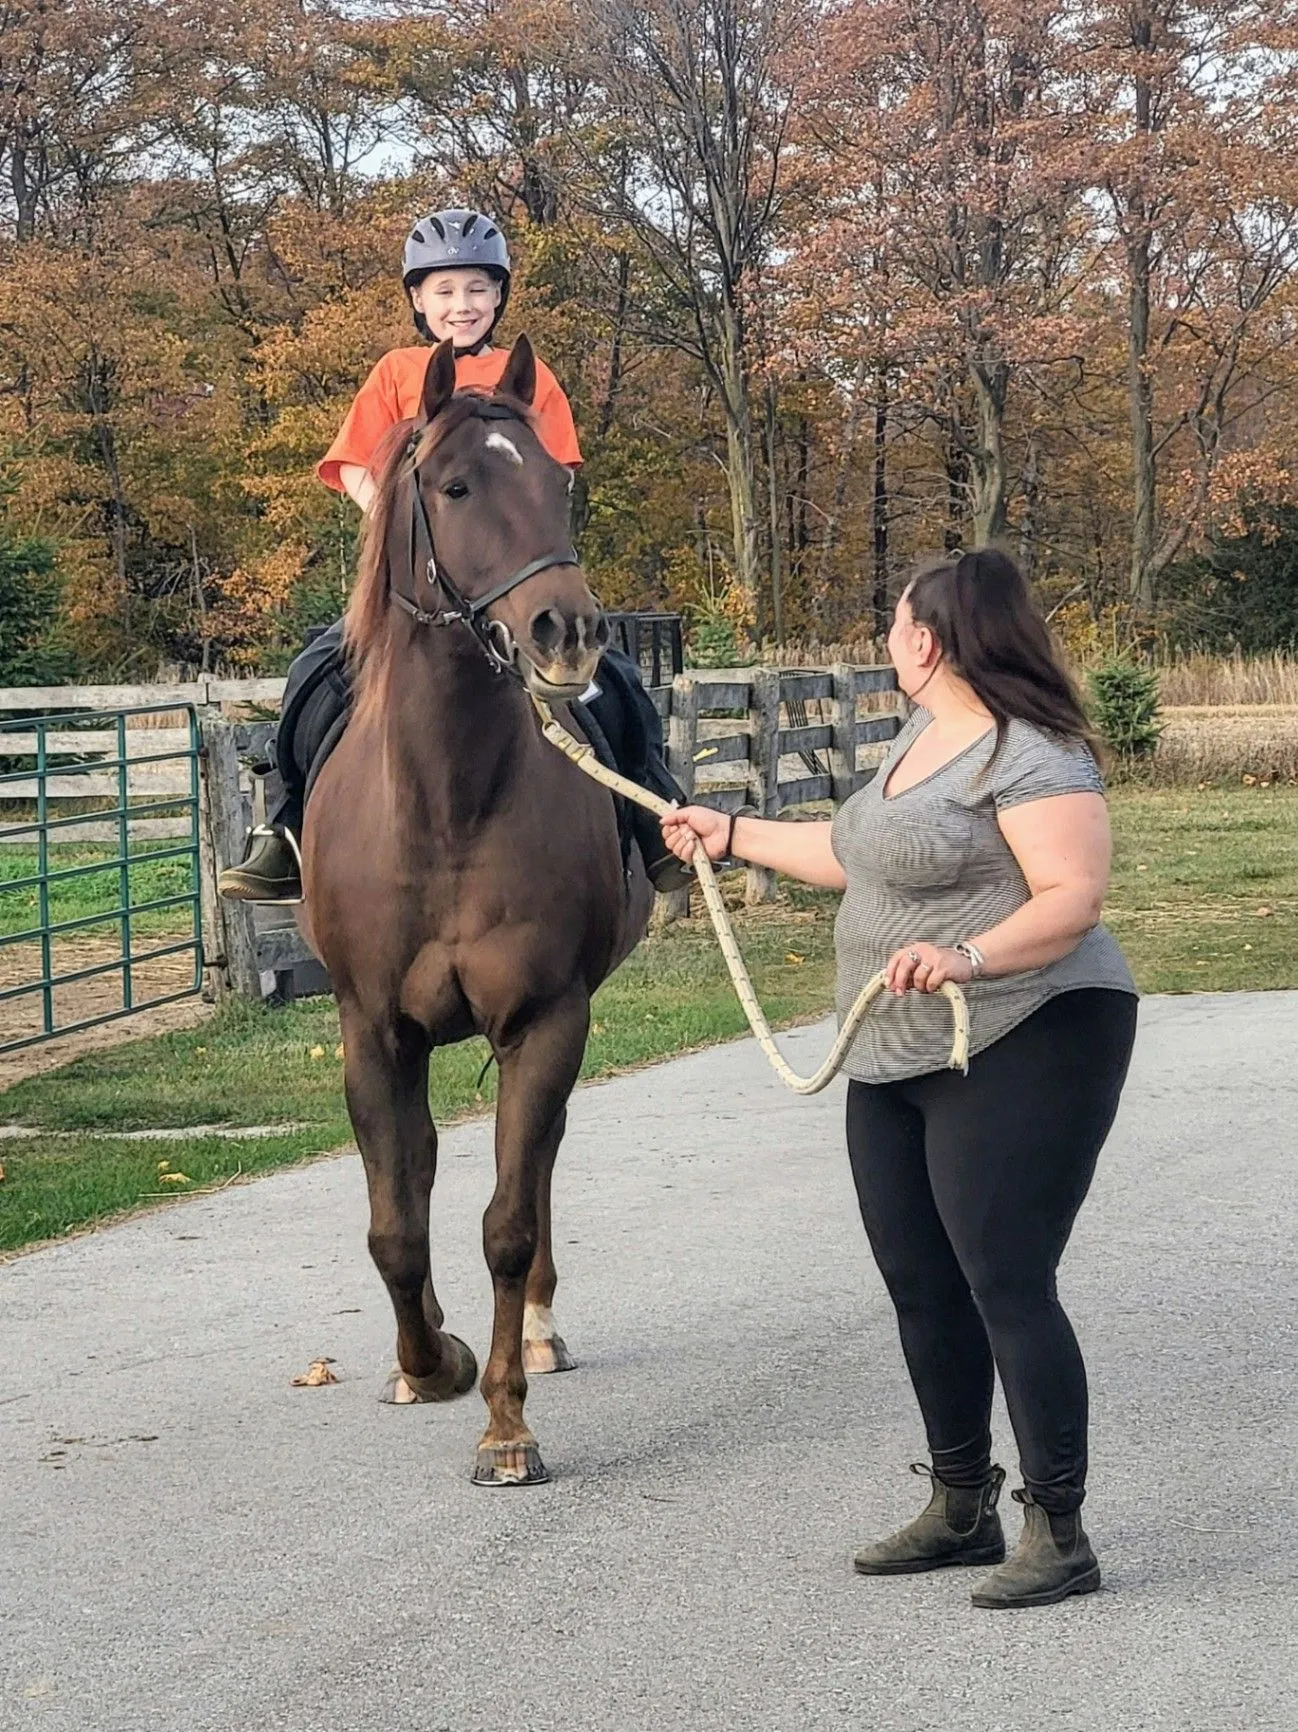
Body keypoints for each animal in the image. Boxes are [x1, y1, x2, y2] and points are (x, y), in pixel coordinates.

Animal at [301, 336, 654, 1486]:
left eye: (558, 484)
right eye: (455, 487)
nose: (566, 633)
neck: (447, 802)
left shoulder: (545, 1018)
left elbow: (505, 1223)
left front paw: (503, 1420)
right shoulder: (374, 1031)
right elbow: (394, 1226)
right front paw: (431, 1362)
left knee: (531, 1178)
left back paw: (536, 1333)